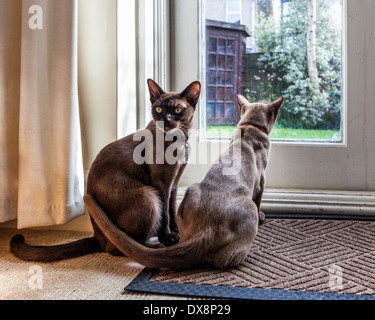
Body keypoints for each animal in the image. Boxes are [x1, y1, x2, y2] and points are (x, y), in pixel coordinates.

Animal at [10, 79, 201, 262]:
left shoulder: (173, 183)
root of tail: (97, 237)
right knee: (119, 246)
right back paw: (154, 247)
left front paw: (177, 234)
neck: (179, 142)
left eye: (177, 109)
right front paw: (168, 238)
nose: (166, 121)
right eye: (159, 109)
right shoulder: (161, 184)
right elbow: (165, 216)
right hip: (148, 196)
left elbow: (172, 210)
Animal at [83, 94, 284, 268]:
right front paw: (263, 217)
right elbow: (259, 202)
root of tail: (206, 233)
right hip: (153, 198)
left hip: (190, 189)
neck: (250, 127)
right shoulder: (261, 181)